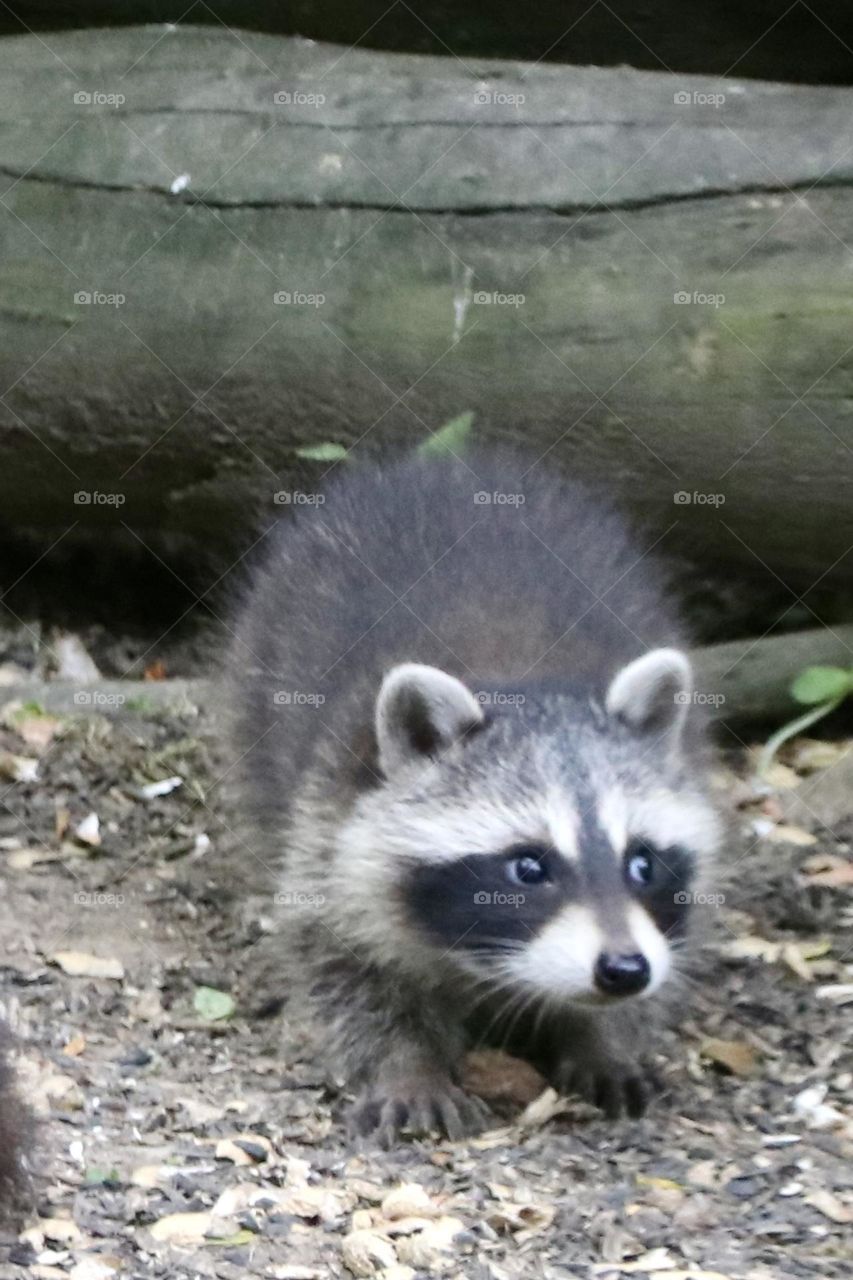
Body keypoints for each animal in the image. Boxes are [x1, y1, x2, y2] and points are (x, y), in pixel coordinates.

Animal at [230, 455, 717, 1146]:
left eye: (642, 863)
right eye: (529, 867)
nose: (624, 969)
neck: (526, 684)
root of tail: (447, 464)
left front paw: (602, 1041)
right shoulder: (329, 819)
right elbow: (343, 964)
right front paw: (407, 1066)